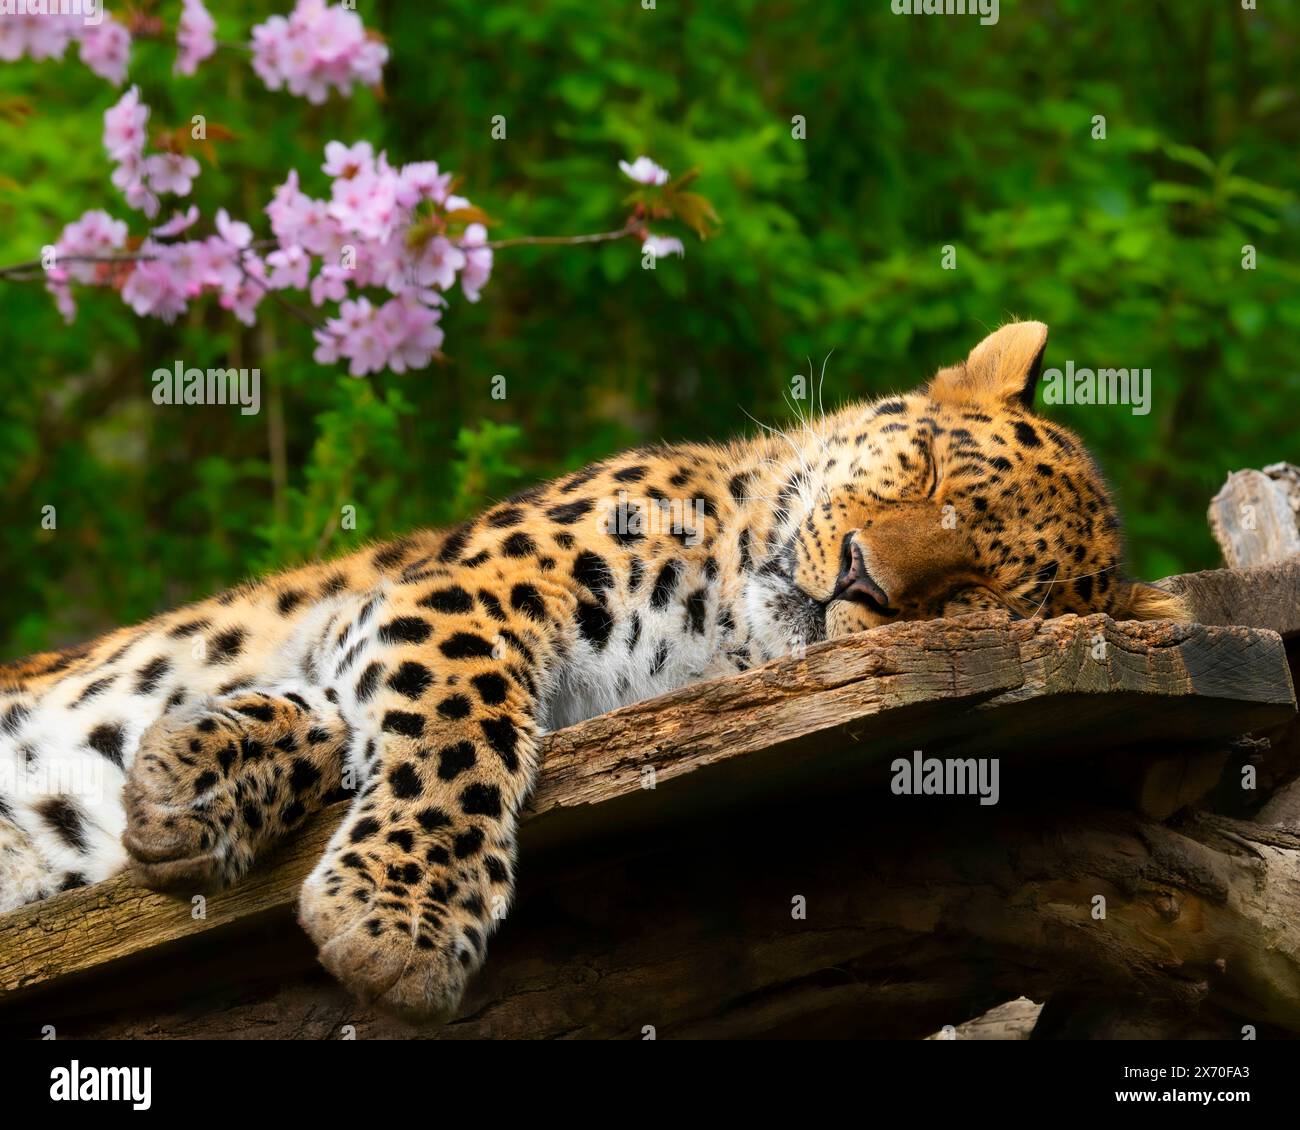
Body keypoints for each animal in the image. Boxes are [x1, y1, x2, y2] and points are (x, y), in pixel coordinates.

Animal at [0, 322, 1185, 1019]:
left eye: (977, 596)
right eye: (928, 468)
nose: (863, 578)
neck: (720, 628)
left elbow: (342, 721)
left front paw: (186, 785)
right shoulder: (470, 584)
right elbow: (457, 725)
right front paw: (400, 921)